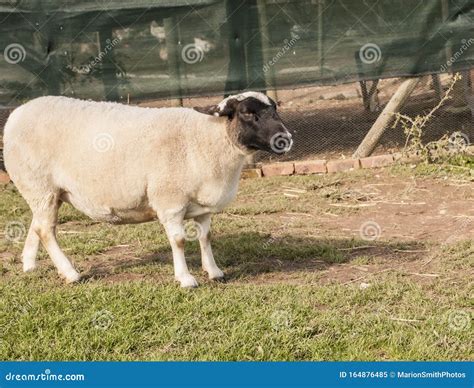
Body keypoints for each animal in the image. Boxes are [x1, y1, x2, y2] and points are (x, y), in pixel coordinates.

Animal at [3, 90, 292, 284]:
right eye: (248, 113)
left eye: (275, 109)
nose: (286, 139)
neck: (207, 137)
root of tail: (17, 114)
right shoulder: (170, 201)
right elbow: (178, 241)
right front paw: (186, 279)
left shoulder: (202, 206)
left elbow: (205, 238)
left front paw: (214, 272)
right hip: (39, 185)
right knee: (46, 230)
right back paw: (71, 273)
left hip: (44, 190)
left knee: (37, 225)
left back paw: (29, 265)